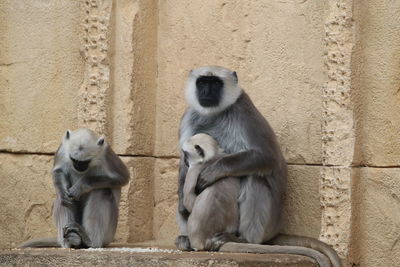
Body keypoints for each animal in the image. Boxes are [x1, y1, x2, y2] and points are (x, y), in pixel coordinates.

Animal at [177, 65, 342, 267]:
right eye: (202, 82)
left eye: (215, 83)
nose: (206, 92)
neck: (214, 114)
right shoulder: (189, 115)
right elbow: (184, 166)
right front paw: (182, 204)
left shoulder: (242, 110)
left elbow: (267, 157)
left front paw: (213, 171)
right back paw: (186, 238)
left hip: (269, 223)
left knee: (254, 177)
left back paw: (244, 240)